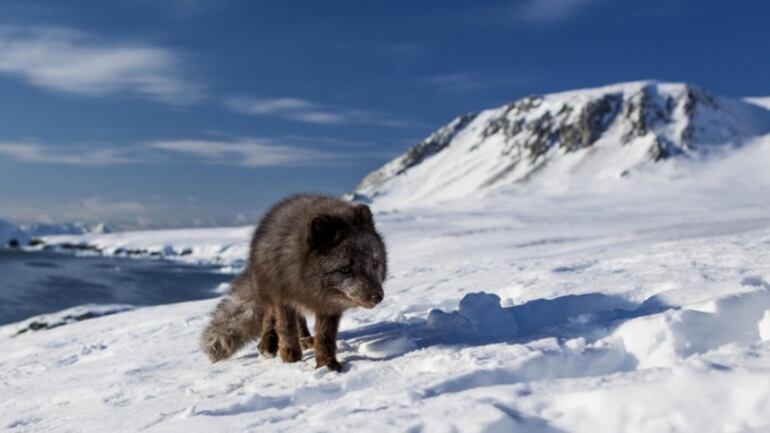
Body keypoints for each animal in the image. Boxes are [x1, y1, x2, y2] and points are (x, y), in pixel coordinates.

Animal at [201, 194, 388, 370]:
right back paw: (268, 343)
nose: (378, 297)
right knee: (269, 317)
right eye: (346, 269)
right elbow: (286, 327)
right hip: (268, 288)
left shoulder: (328, 305)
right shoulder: (283, 295)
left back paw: (305, 339)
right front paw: (290, 357)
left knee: (300, 320)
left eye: (374, 263)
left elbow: (325, 336)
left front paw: (326, 364)